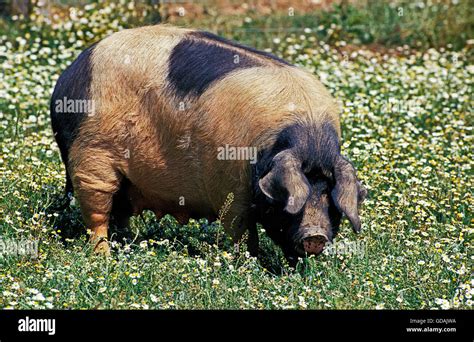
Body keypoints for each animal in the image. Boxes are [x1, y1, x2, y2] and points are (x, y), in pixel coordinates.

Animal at [50, 25, 366, 264]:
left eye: (329, 197)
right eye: (293, 197)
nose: (316, 236)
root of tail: (69, 75)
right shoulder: (229, 186)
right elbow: (241, 229)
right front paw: (251, 265)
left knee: (121, 212)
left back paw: (127, 244)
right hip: (90, 157)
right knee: (97, 212)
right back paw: (104, 258)